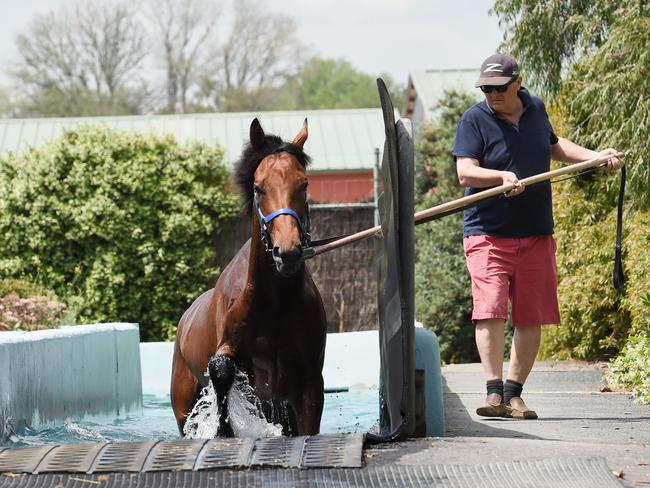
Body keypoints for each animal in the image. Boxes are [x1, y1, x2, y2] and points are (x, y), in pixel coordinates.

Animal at [171, 119, 326, 438]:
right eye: (258, 187)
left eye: (304, 183)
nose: (287, 253)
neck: (273, 306)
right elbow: (221, 369)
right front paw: (224, 429)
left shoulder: (309, 386)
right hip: (182, 409)